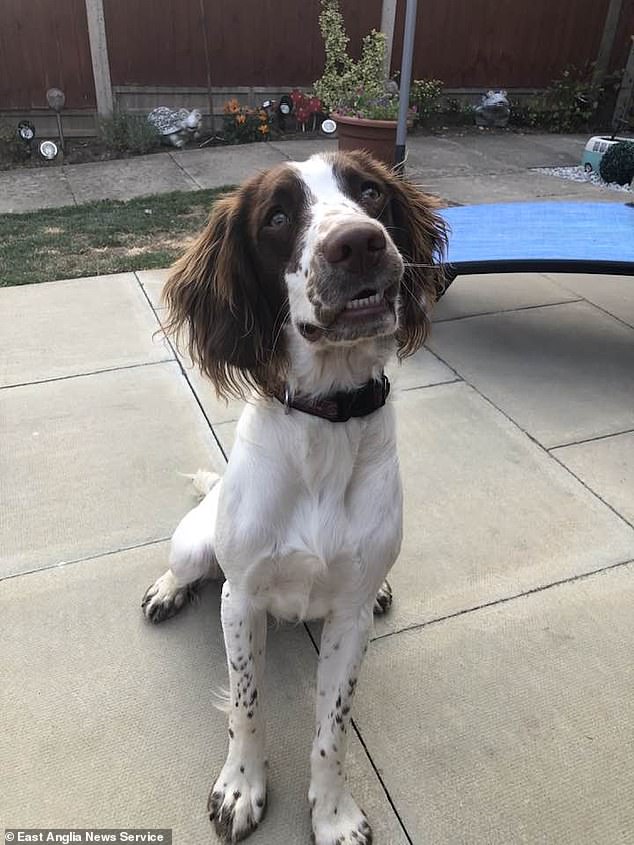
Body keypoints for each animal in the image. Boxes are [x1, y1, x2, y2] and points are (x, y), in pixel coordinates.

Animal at [142, 153, 444, 844]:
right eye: (277, 217)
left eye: (371, 192)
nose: (358, 243)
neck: (326, 419)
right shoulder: (241, 598)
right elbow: (245, 706)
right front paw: (240, 787)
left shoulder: (349, 620)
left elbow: (332, 729)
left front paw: (333, 814)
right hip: (196, 545)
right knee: (185, 566)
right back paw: (167, 589)